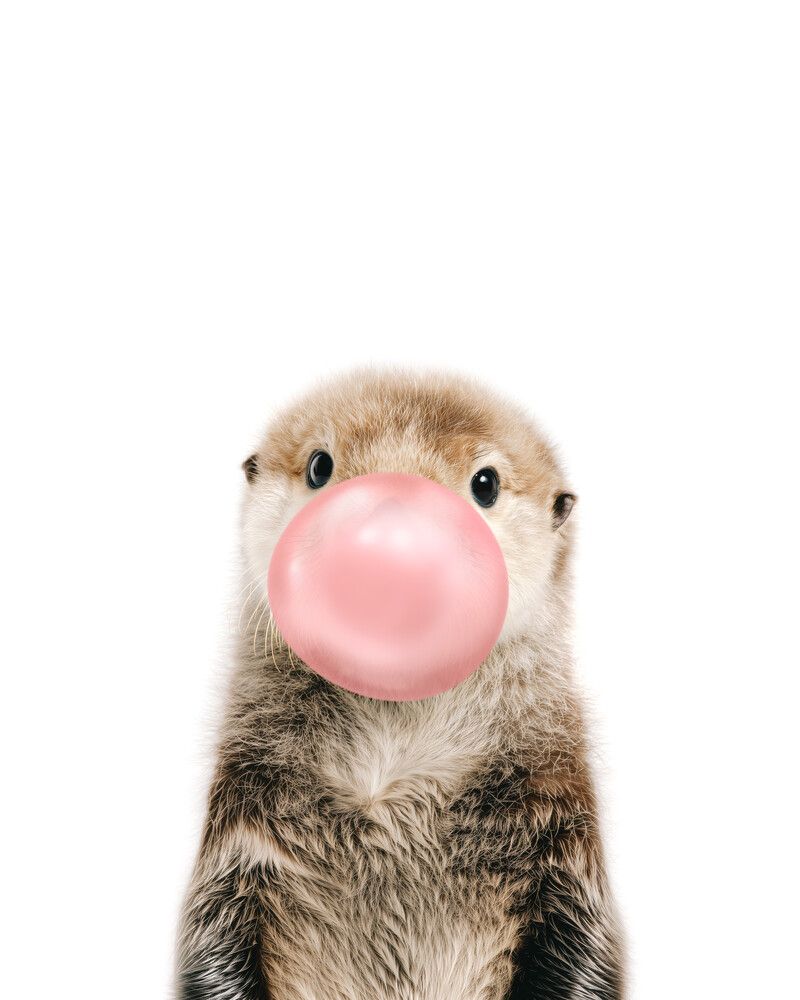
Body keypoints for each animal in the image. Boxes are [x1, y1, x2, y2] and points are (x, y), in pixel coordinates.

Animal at [177, 370, 624, 999]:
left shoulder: (559, 821)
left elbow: (581, 946)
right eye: (319, 465)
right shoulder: (242, 823)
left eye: (486, 482)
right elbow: (213, 939)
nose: (390, 533)